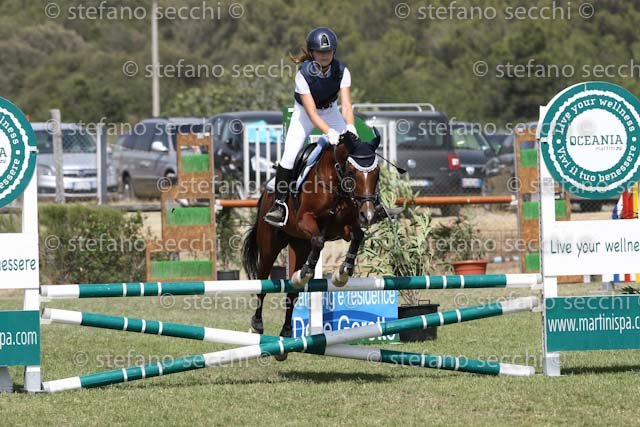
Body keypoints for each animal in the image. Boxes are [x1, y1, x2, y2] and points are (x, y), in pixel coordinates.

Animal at [241, 130, 382, 357]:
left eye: (377, 173)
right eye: (352, 172)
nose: (368, 214)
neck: (335, 180)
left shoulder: (343, 228)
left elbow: (358, 236)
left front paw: (343, 272)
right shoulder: (305, 219)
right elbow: (319, 239)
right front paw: (309, 271)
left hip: (300, 246)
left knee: (292, 292)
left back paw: (286, 332)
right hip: (270, 247)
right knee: (261, 283)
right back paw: (257, 325)